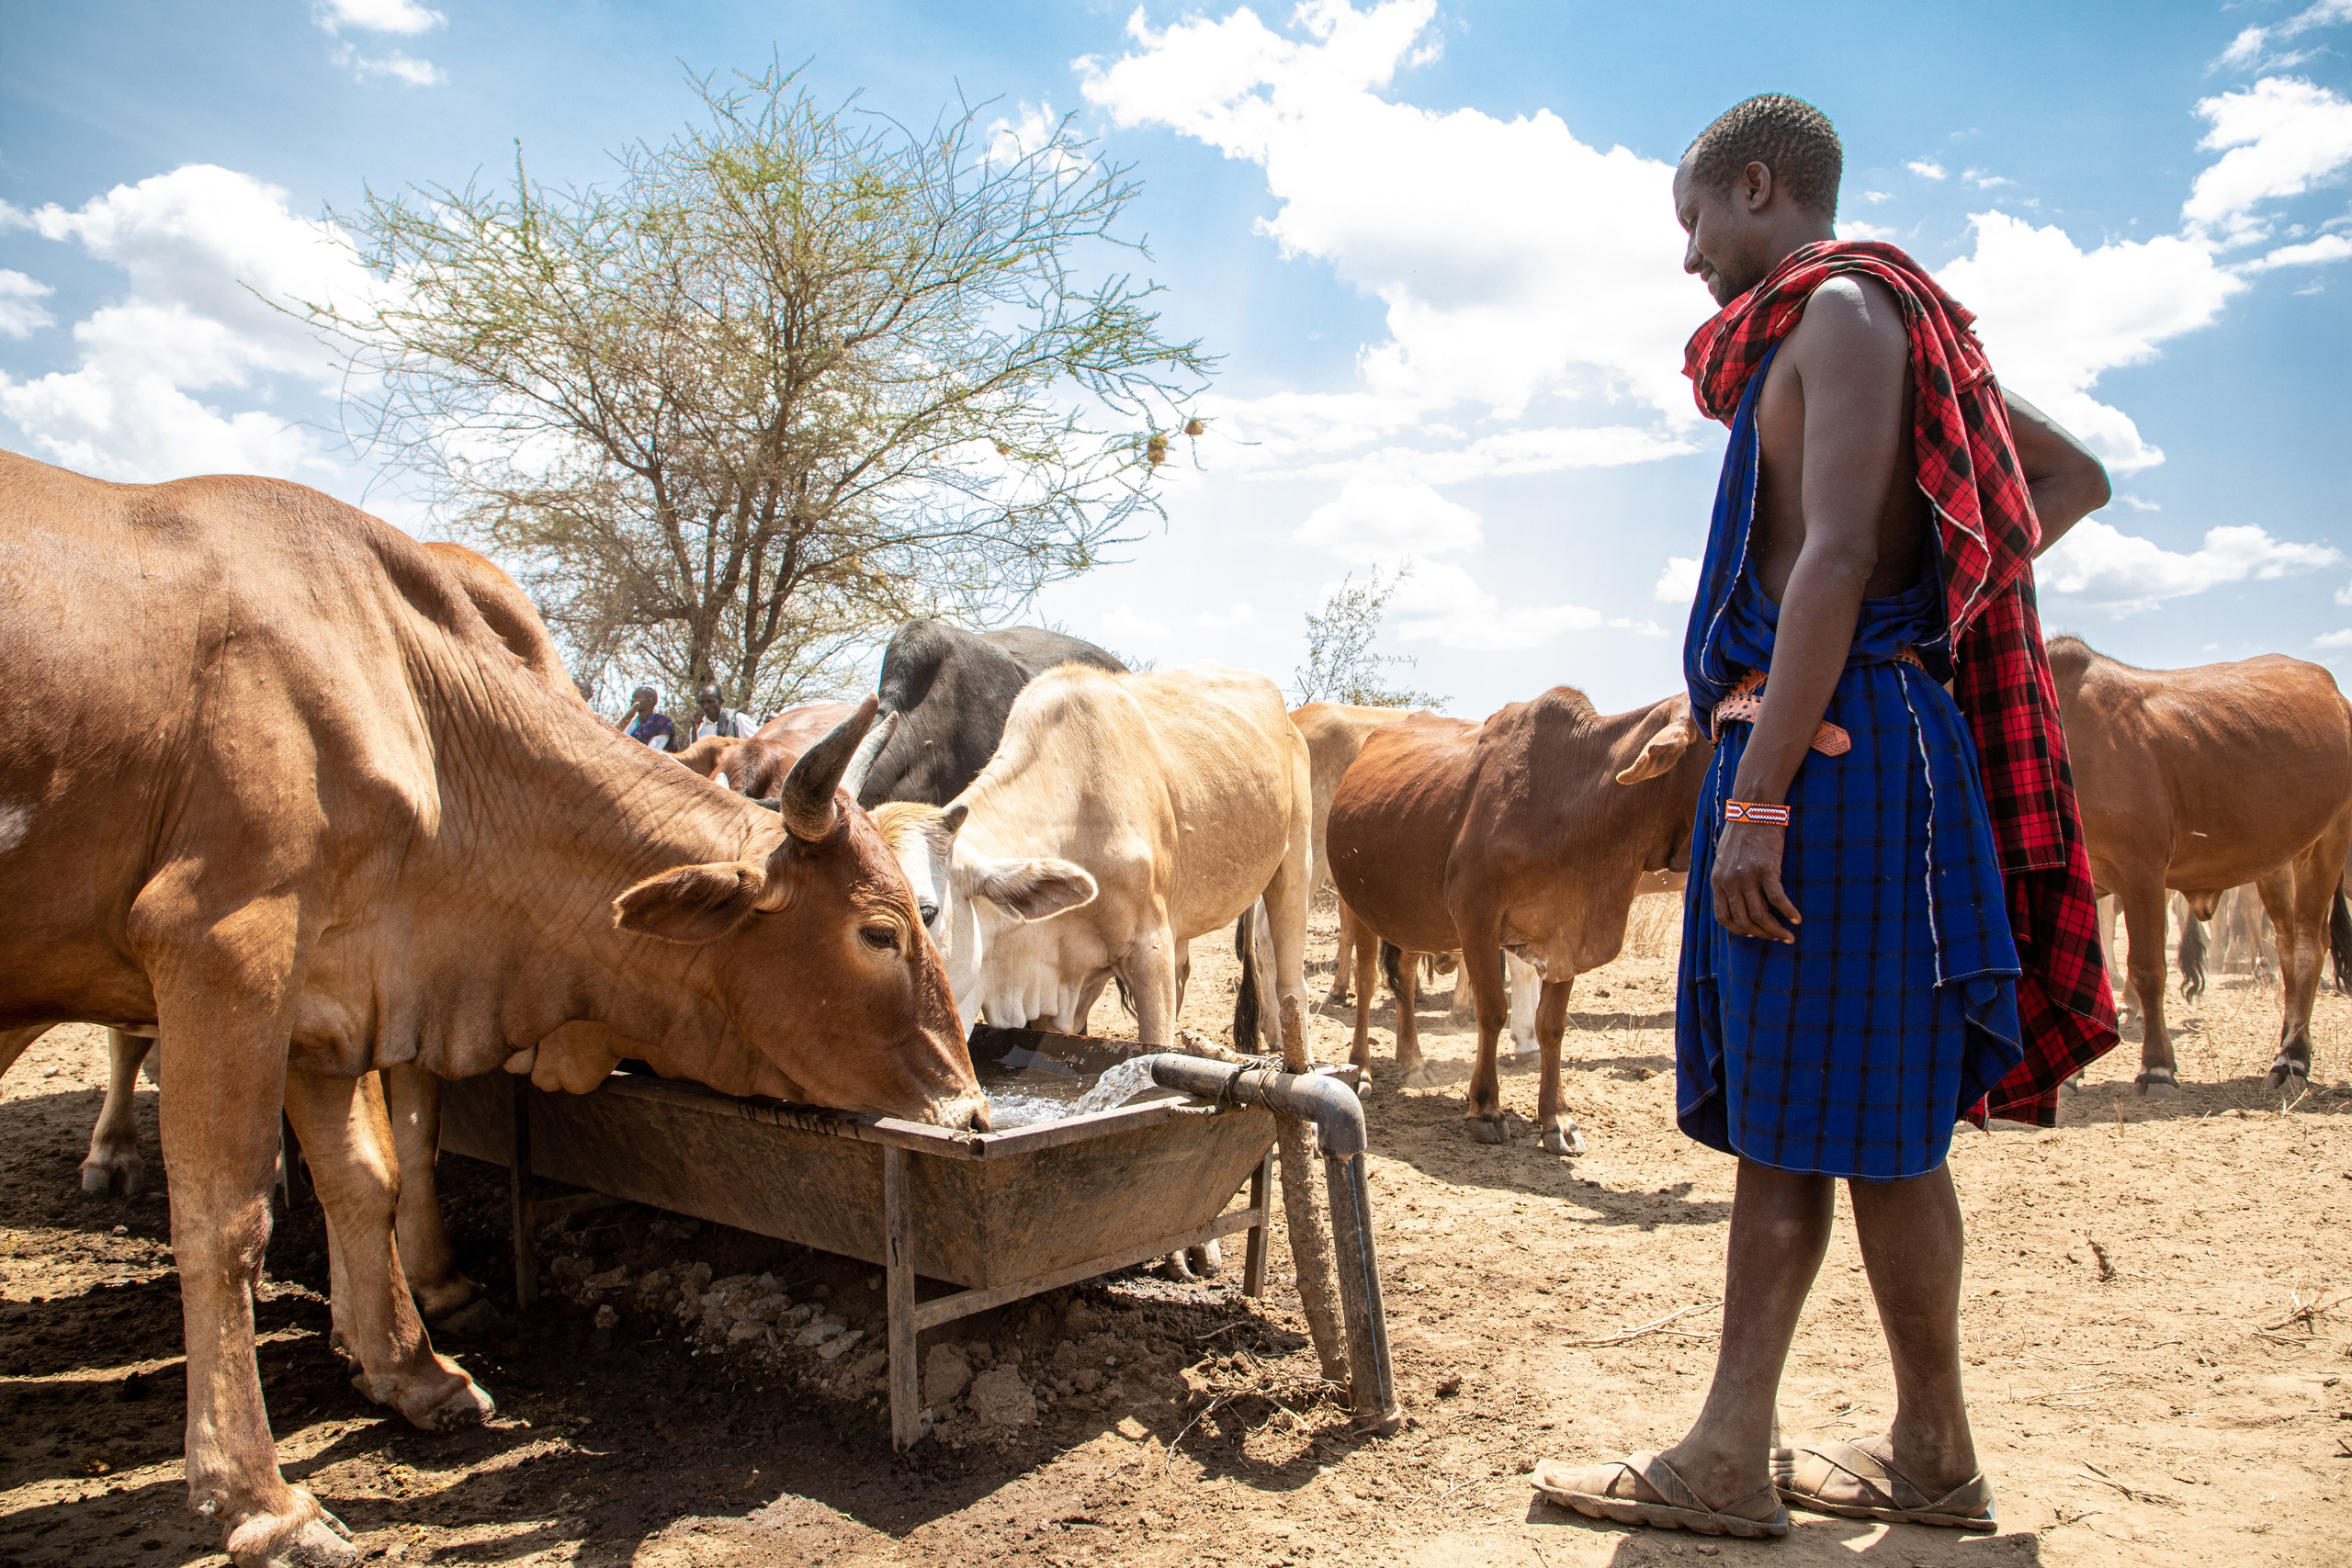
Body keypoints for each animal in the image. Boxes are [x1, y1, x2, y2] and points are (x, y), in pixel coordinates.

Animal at [0, 451, 981, 1568]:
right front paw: (259, 1495)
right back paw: (114, 1159)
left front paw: (407, 1367)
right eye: (880, 931)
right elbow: (224, 1220)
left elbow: (367, 1176)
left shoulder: (329, 995)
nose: (970, 1106)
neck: (414, 702)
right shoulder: (227, 950)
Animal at [1327, 689, 1708, 1153]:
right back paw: (1361, 1067)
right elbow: (1492, 1011)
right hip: (1357, 904)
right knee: (1365, 983)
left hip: (1410, 916)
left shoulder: (1566, 935)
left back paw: (1414, 1063)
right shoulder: (1477, 919)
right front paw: (1486, 1108)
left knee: (1404, 978)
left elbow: (1552, 1026)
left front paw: (1556, 1119)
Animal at [2048, 636, 2352, 1095]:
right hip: (2276, 860)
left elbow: (2148, 968)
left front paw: (2156, 1066)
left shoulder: (2141, 870)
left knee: (2306, 948)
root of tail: (2336, 696)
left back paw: (2292, 1059)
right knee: (2284, 945)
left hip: (2326, 843)